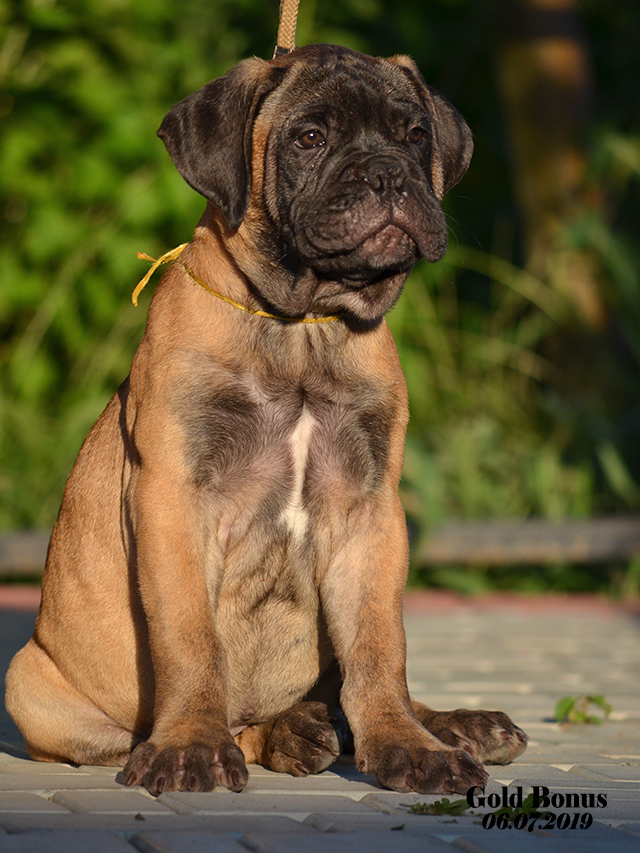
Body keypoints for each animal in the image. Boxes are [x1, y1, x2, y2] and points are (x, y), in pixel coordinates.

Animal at [5, 45, 528, 792]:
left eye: (414, 135)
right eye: (309, 138)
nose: (388, 173)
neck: (303, 327)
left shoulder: (370, 512)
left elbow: (380, 649)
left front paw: (409, 745)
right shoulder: (173, 499)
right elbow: (190, 640)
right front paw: (190, 746)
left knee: (353, 684)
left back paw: (450, 723)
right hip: (31, 681)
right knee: (237, 720)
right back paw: (290, 732)